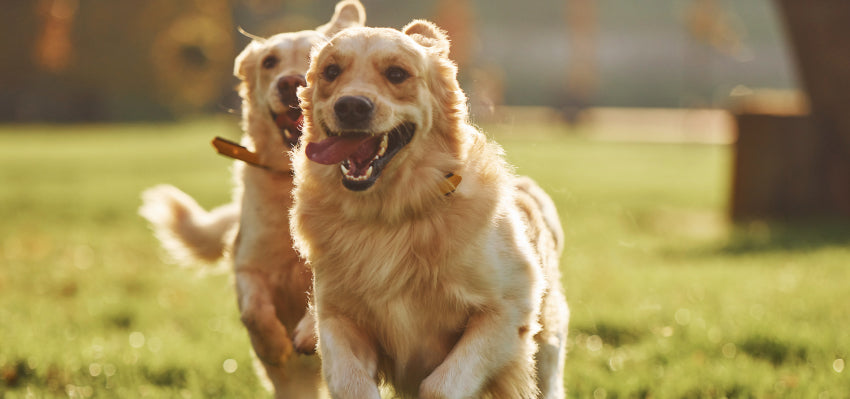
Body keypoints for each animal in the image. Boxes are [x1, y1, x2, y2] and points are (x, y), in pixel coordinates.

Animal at [139, 1, 364, 398]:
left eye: (317, 57)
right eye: (269, 62)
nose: (289, 83)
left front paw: (307, 333)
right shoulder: (247, 262)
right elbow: (253, 310)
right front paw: (274, 345)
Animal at [292, 19, 568, 399]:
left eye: (397, 73)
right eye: (331, 71)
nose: (350, 106)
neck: (390, 217)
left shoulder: (507, 311)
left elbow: (439, 386)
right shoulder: (338, 317)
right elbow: (351, 383)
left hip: (548, 346)